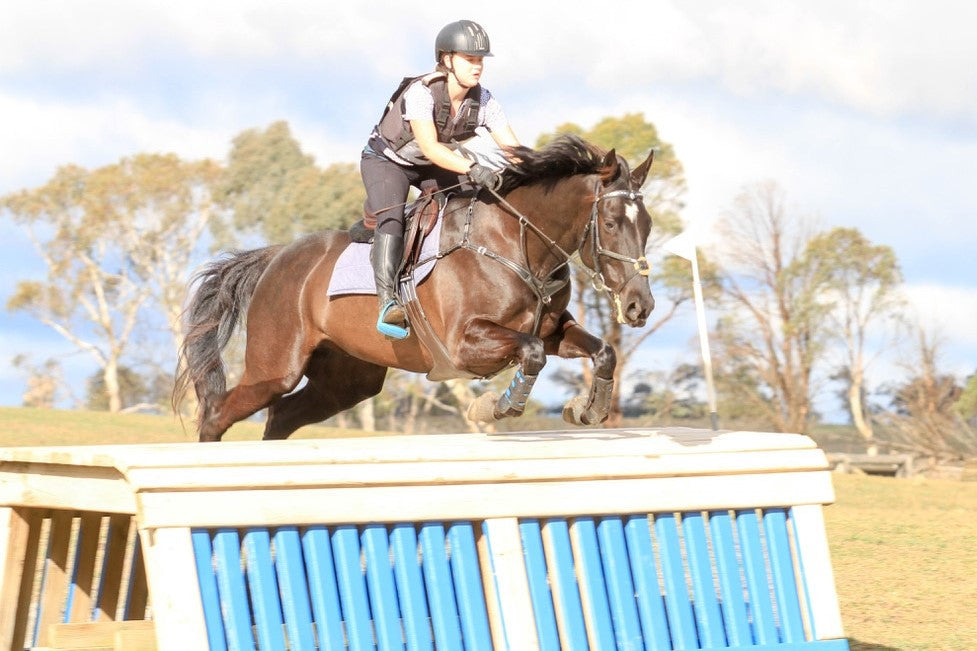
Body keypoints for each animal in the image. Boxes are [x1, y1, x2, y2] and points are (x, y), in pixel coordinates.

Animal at [174, 135, 656, 442]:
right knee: (218, 414)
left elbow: (602, 352)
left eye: (647, 225)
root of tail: (276, 258)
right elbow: (531, 354)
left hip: (347, 379)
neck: (517, 243)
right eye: (611, 224)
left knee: (280, 417)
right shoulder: (466, 344)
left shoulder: (552, 331)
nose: (640, 306)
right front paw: (494, 408)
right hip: (276, 367)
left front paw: (589, 409)